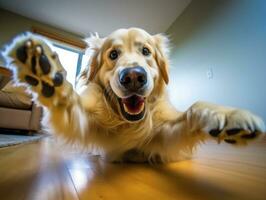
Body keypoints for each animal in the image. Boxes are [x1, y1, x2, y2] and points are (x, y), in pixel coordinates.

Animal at [2, 28, 266, 162]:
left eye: (146, 51)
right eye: (113, 54)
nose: (133, 77)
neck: (129, 123)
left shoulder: (164, 137)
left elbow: (193, 108)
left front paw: (229, 116)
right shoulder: (90, 127)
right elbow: (68, 100)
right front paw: (45, 72)